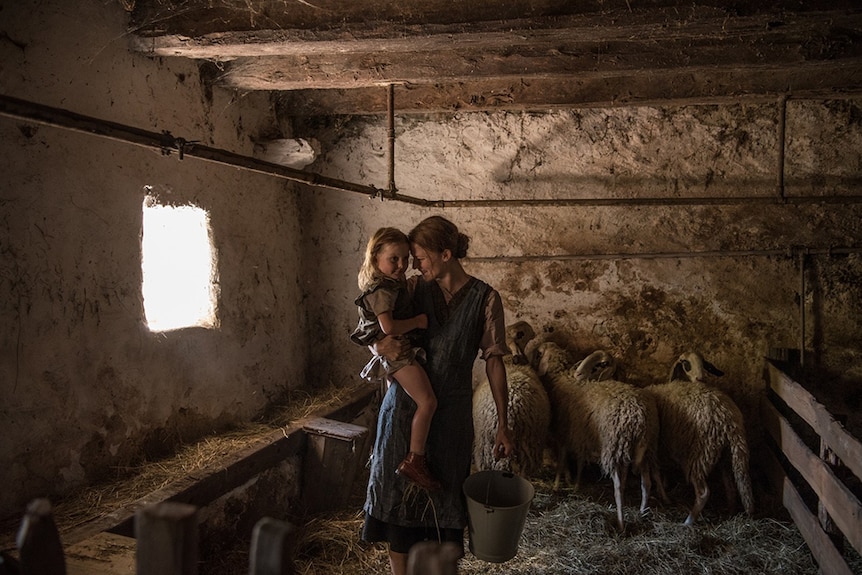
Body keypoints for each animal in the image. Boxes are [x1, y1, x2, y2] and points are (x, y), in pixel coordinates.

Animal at [532, 342, 660, 532]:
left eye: (539, 353)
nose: (578, 373)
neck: (561, 377)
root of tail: (640, 415)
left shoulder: (565, 432)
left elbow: (562, 460)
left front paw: (556, 484)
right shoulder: (581, 433)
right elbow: (579, 461)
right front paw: (576, 485)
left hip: (615, 447)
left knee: (619, 487)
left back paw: (621, 522)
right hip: (647, 449)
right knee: (646, 483)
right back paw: (643, 512)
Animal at [644, 352, 760, 528]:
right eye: (686, 363)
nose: (701, 378)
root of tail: (729, 419)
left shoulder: (656, 447)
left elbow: (656, 472)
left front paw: (663, 493)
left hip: (700, 454)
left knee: (704, 492)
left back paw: (688, 521)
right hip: (727, 455)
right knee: (731, 486)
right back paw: (730, 511)